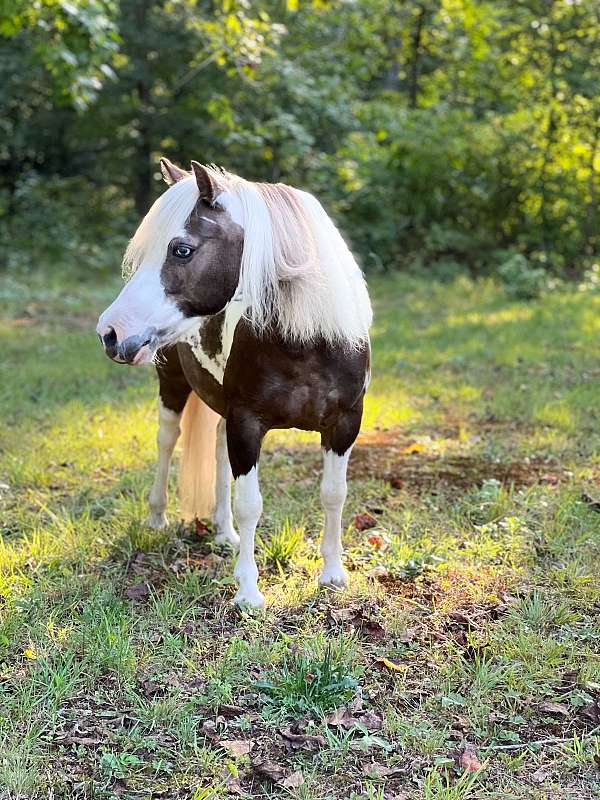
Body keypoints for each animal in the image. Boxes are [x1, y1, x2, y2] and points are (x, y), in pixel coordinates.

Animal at [97, 159, 370, 604]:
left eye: (182, 249)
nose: (110, 332)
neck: (305, 341)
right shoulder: (247, 423)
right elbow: (251, 504)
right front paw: (248, 592)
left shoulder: (344, 424)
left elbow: (334, 493)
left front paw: (332, 574)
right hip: (172, 385)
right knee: (167, 441)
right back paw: (157, 518)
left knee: (218, 455)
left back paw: (224, 534)